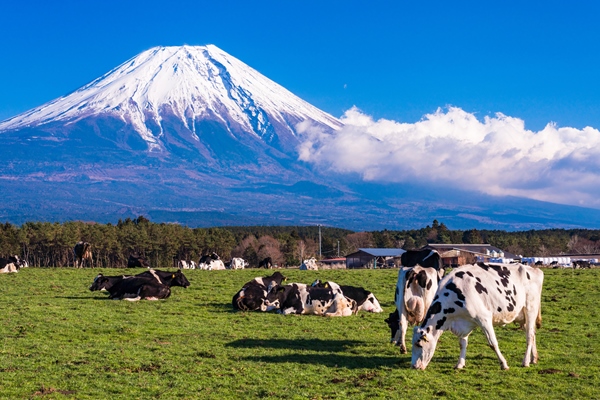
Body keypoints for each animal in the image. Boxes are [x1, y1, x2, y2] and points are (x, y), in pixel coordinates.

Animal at [412, 262, 544, 372]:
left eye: (419, 344)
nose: (413, 366)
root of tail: (534, 269)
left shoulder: (483, 318)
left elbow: (492, 343)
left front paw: (504, 364)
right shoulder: (463, 323)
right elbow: (462, 344)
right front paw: (460, 364)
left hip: (530, 308)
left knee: (529, 335)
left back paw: (526, 361)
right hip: (523, 316)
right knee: (533, 334)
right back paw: (534, 358)